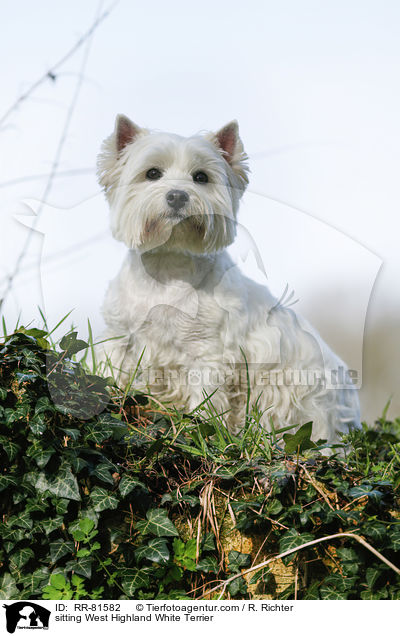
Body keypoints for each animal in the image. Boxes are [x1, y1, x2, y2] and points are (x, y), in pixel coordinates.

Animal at [97, 115, 360, 442]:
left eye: (201, 177)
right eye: (152, 173)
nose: (178, 195)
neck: (169, 269)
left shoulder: (208, 352)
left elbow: (205, 398)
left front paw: (197, 431)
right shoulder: (120, 338)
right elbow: (114, 372)